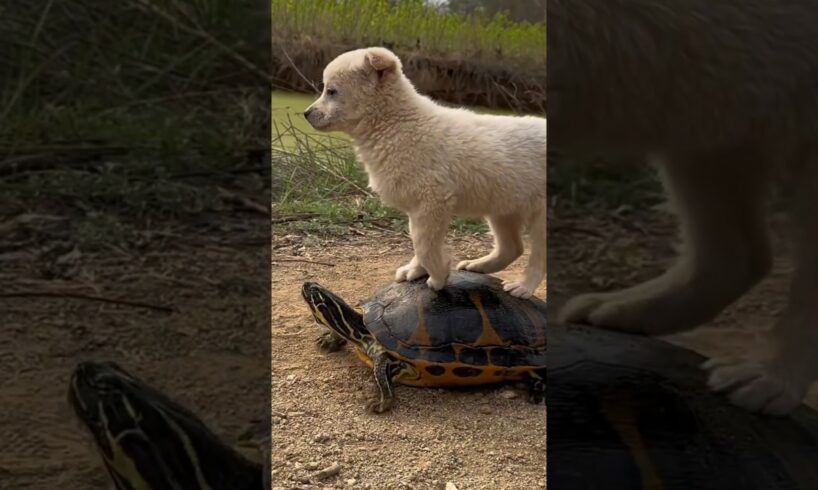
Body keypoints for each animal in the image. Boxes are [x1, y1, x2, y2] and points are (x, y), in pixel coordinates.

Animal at [302, 47, 544, 298]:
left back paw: (523, 287)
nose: (306, 113)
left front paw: (438, 276)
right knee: (512, 247)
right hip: (503, 205)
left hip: (540, 216)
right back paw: (478, 265)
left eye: (331, 91)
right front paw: (415, 270)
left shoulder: (433, 200)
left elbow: (424, 244)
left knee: (537, 256)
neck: (397, 123)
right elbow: (417, 239)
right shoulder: (418, 207)